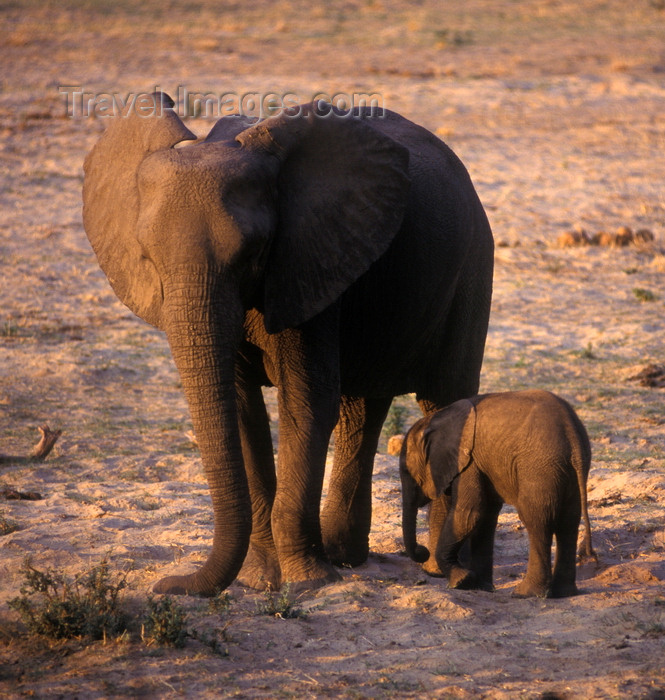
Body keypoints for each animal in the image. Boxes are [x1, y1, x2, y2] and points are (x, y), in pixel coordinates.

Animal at [81, 93, 492, 596]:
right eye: (147, 257)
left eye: (252, 253)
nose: (166, 586)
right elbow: (243, 411)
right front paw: (261, 580)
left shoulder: (304, 260)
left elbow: (306, 403)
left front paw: (308, 581)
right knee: (363, 408)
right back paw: (346, 556)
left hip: (473, 266)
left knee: (444, 399)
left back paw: (440, 569)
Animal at [396, 388, 592, 596]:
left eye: (406, 471)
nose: (422, 551)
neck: (436, 420)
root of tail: (573, 435)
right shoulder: (480, 463)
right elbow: (485, 517)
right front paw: (481, 587)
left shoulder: (469, 461)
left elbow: (469, 515)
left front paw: (461, 582)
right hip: (567, 472)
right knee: (568, 523)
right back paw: (564, 593)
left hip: (539, 468)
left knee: (537, 521)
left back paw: (524, 593)